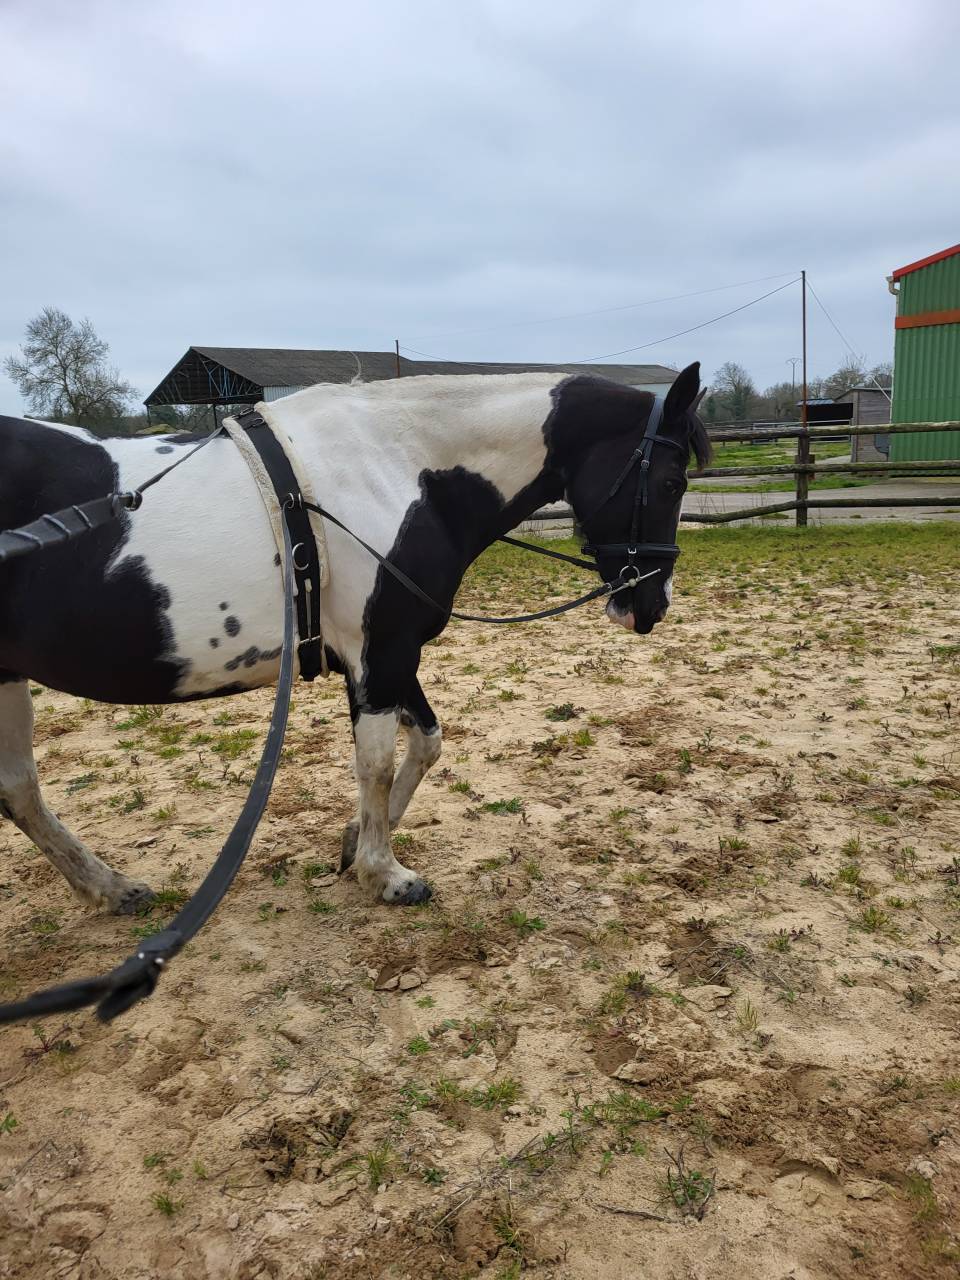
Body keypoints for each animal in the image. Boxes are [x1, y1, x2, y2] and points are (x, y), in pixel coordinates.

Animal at [0, 362, 709, 913]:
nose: (652, 605)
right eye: (672, 481)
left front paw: (353, 843)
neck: (398, 468)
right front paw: (385, 874)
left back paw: (109, 889)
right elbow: (376, 762)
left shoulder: (382, 656)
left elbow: (425, 742)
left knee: (19, 791)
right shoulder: (383, 652)